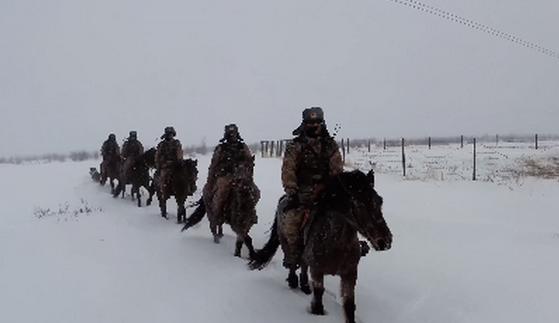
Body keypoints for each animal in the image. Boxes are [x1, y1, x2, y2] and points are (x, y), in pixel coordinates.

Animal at [249, 170, 394, 323]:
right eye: (359, 204)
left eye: (380, 201)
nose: (385, 241)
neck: (336, 244)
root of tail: (284, 199)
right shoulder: (317, 271)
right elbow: (318, 297)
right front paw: (316, 311)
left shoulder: (350, 274)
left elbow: (349, 304)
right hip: (286, 242)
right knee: (293, 261)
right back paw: (293, 281)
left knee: (303, 265)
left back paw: (305, 286)